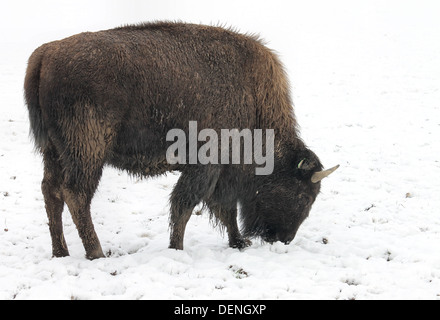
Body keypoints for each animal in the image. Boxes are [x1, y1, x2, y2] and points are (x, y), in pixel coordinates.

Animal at [24, 21, 338, 258]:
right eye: (304, 196)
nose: (283, 238)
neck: (252, 97)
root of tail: (45, 55)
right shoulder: (207, 166)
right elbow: (187, 205)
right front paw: (177, 247)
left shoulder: (217, 172)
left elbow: (222, 209)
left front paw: (238, 242)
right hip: (88, 152)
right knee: (76, 195)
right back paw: (96, 252)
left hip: (53, 152)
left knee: (50, 192)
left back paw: (60, 252)